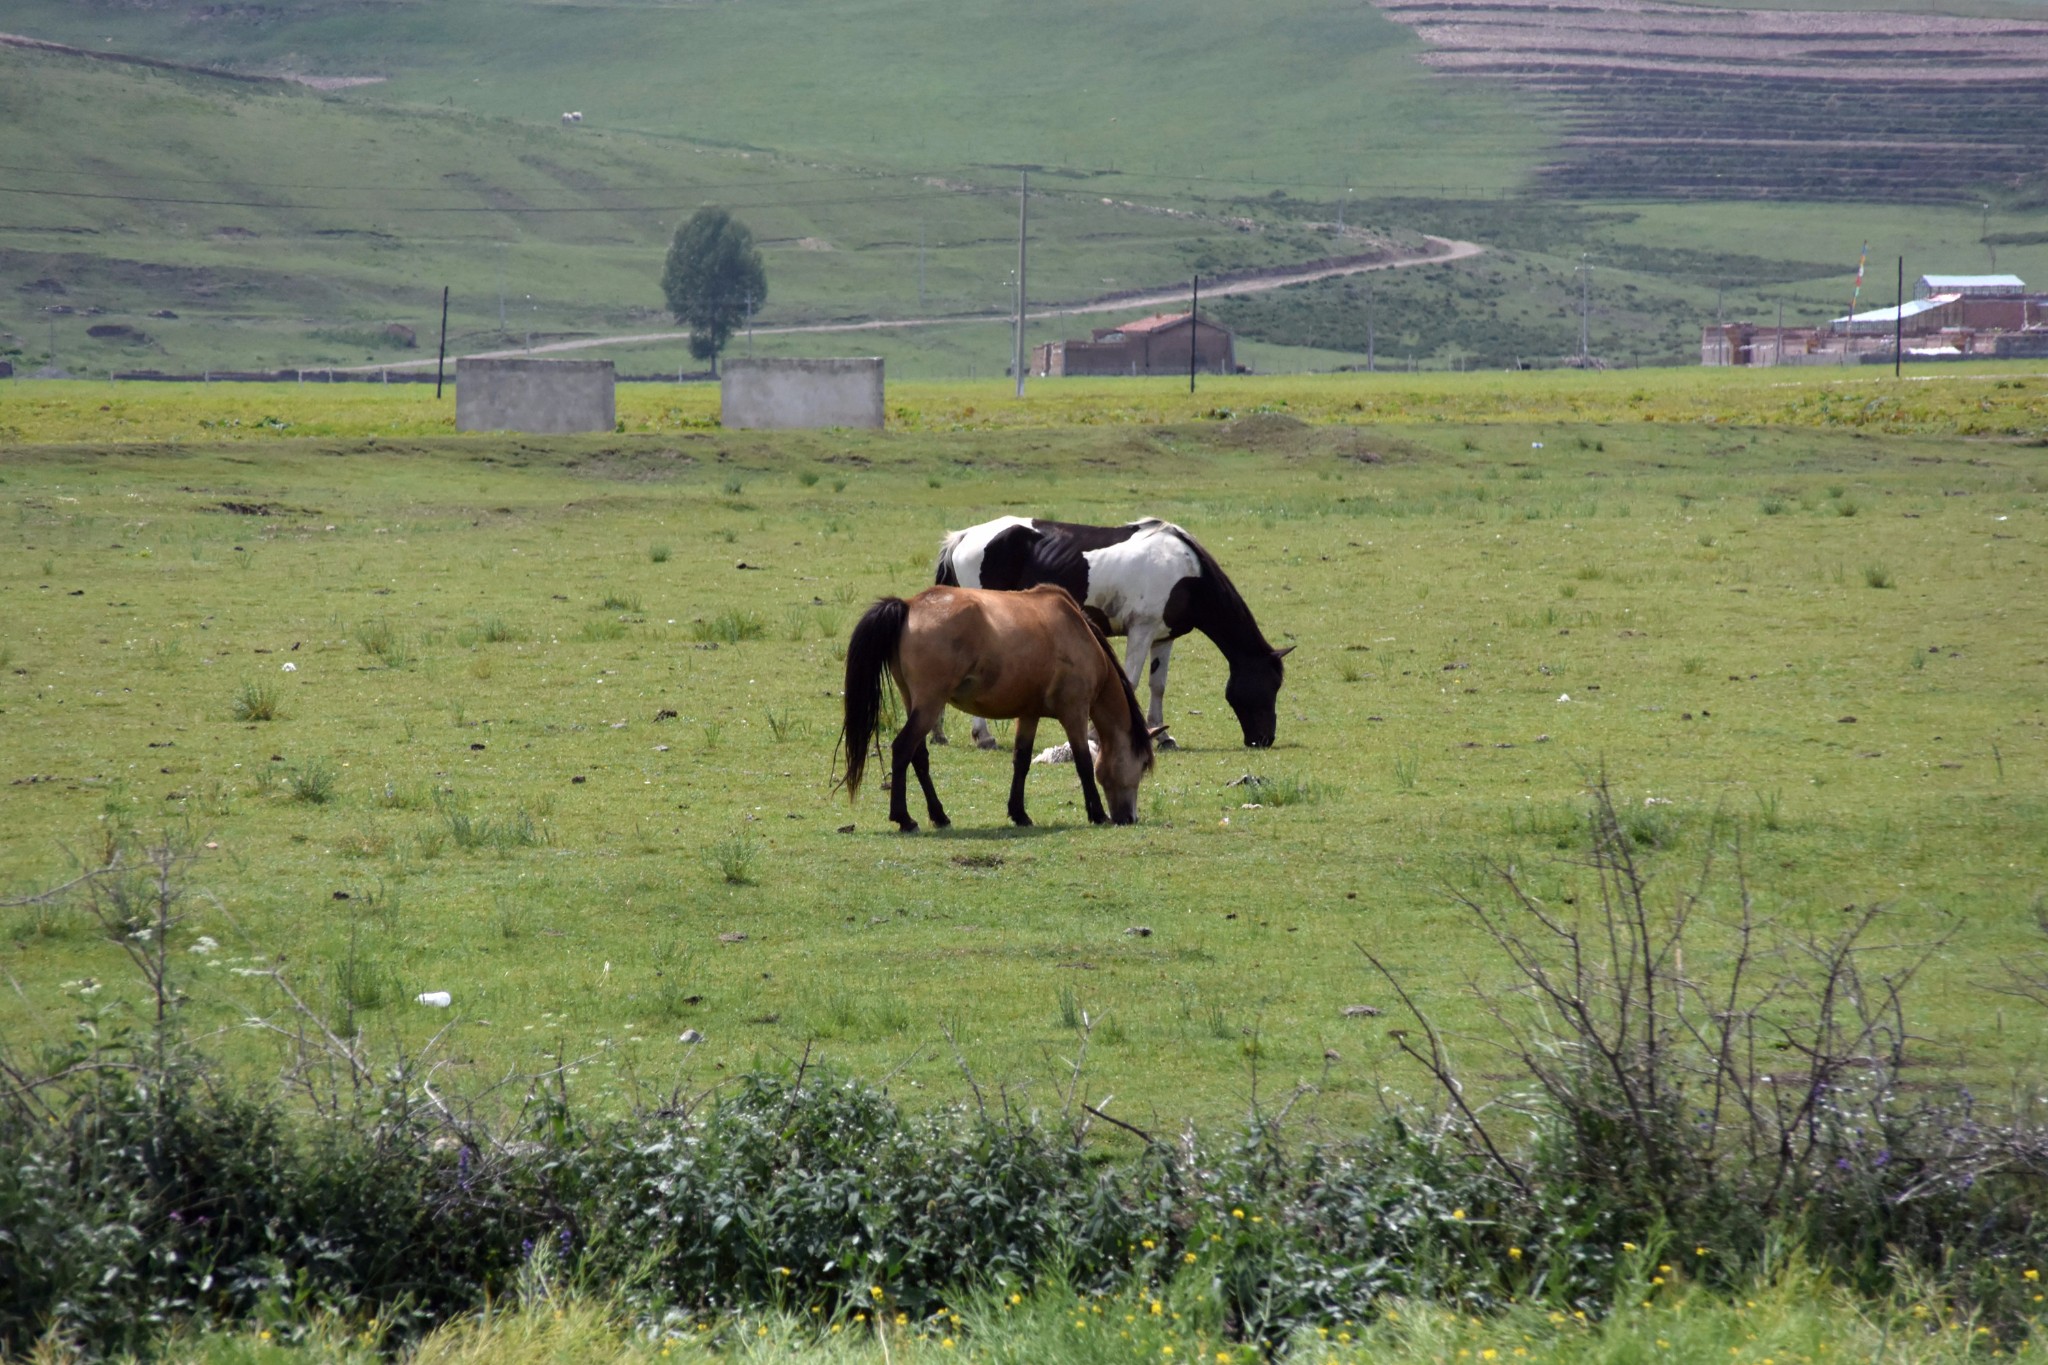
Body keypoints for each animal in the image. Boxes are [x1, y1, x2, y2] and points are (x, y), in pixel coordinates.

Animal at [831, 581, 1155, 826]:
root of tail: (910, 605)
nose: (1130, 818)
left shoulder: (1029, 714)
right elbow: (1084, 763)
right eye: (1141, 765)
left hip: (915, 703)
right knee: (902, 749)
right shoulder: (1074, 712)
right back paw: (904, 819)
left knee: (918, 756)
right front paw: (1097, 814)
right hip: (930, 704)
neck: (1079, 635)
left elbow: (1021, 761)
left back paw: (939, 815)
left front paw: (1019, 814)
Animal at [937, 515, 1286, 749]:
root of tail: (963, 536)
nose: (1264, 739)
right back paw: (983, 737)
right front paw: (1099, 735)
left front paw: (1163, 736)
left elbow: (1158, 685)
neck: (1186, 573)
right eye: (1270, 685)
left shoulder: (1163, 638)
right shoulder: (1141, 630)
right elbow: (1130, 681)